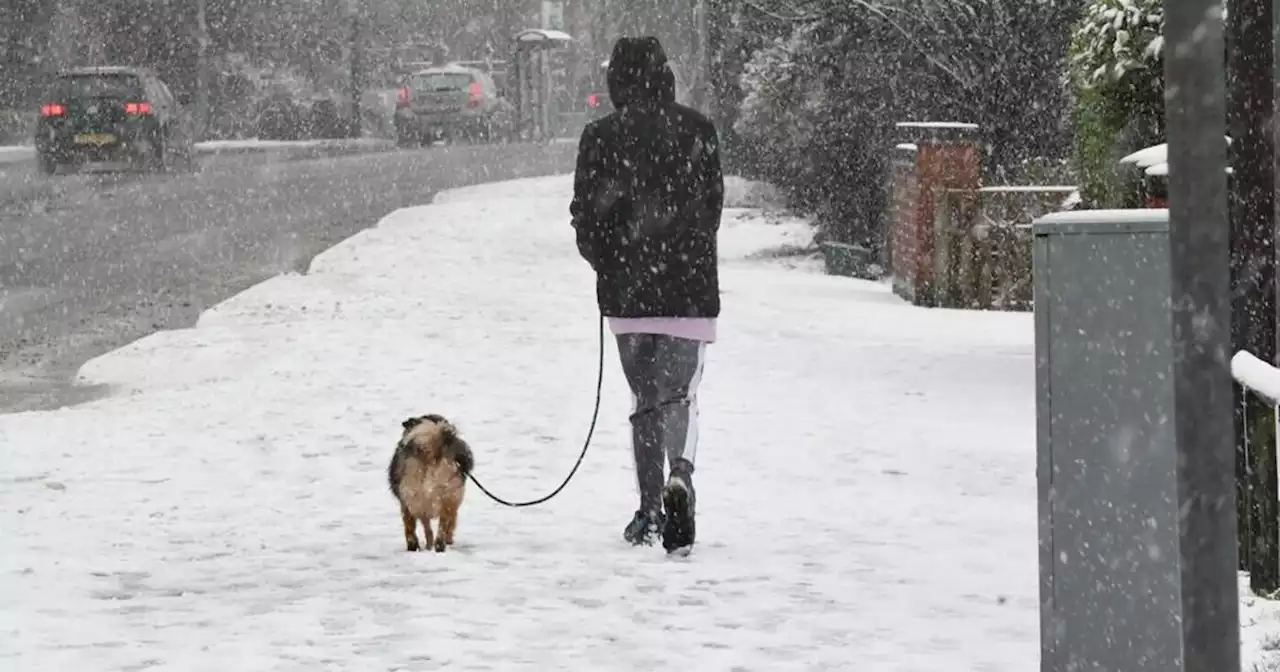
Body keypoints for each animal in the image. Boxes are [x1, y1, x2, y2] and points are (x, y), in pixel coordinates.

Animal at [389, 414, 476, 550]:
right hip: (445, 495)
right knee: (442, 525)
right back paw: (439, 544)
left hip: (415, 497)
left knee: (413, 527)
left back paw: (418, 545)